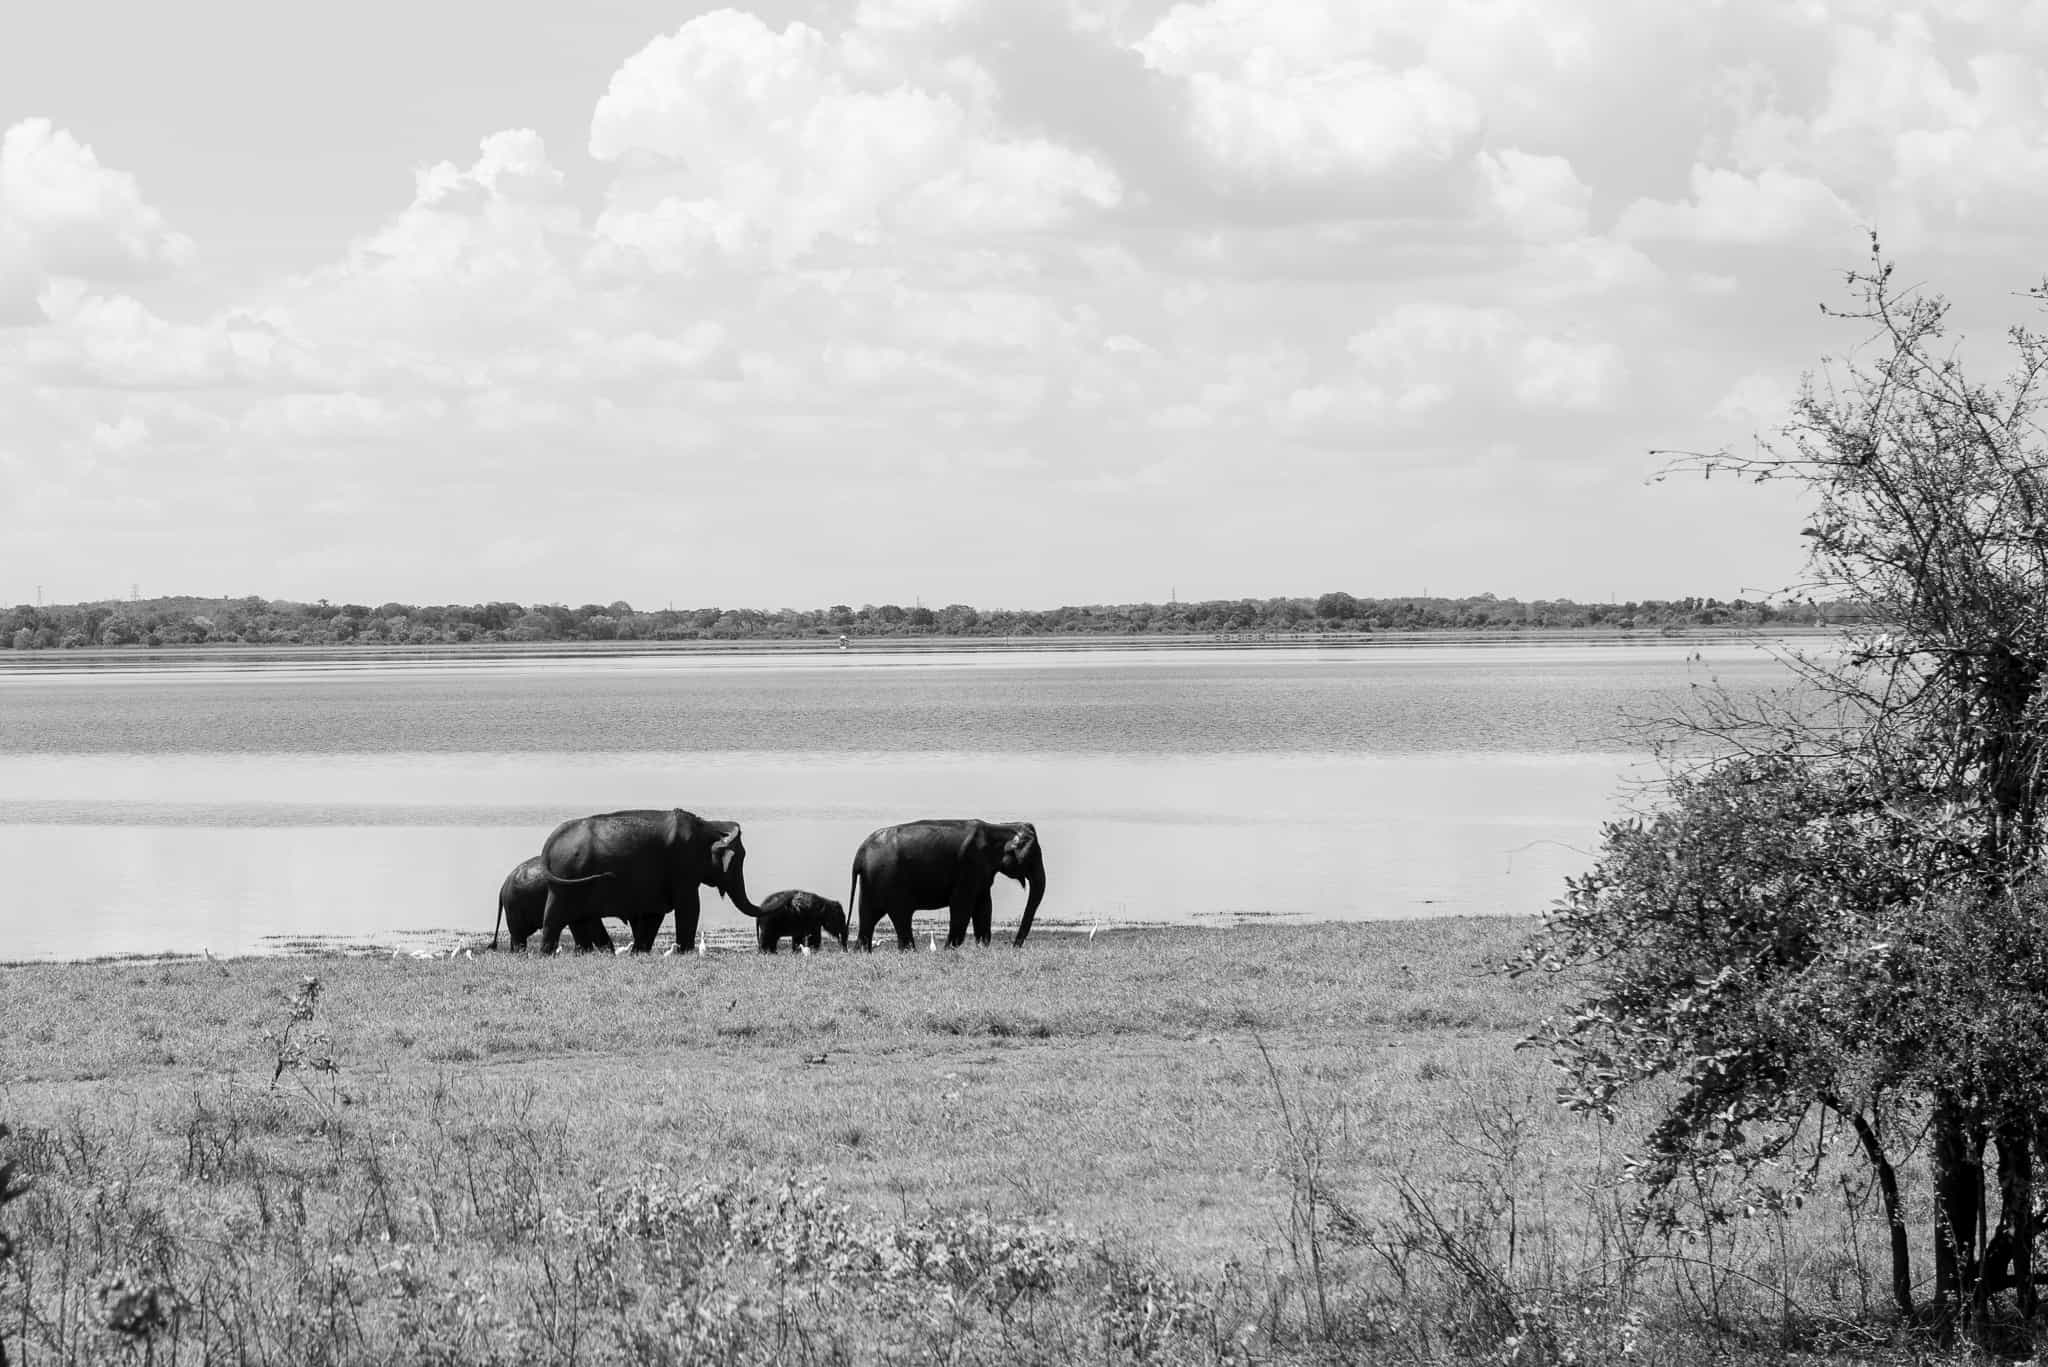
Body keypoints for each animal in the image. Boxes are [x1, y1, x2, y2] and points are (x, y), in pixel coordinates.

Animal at [538, 809, 757, 954]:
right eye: (739, 859)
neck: (709, 826)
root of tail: (552, 840)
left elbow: (655, 913)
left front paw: (639, 952)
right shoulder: (683, 867)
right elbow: (690, 907)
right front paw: (685, 952)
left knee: (579, 918)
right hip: (566, 877)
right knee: (555, 918)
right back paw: (547, 954)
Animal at [847, 819, 1045, 950]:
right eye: (1032, 857)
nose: (1014, 946)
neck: (1000, 827)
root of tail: (859, 854)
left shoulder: (981, 872)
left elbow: (983, 905)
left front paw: (982, 947)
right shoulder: (969, 865)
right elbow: (962, 904)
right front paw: (950, 949)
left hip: (871, 881)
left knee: (868, 916)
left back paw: (862, 951)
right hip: (888, 879)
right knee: (900, 915)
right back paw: (910, 951)